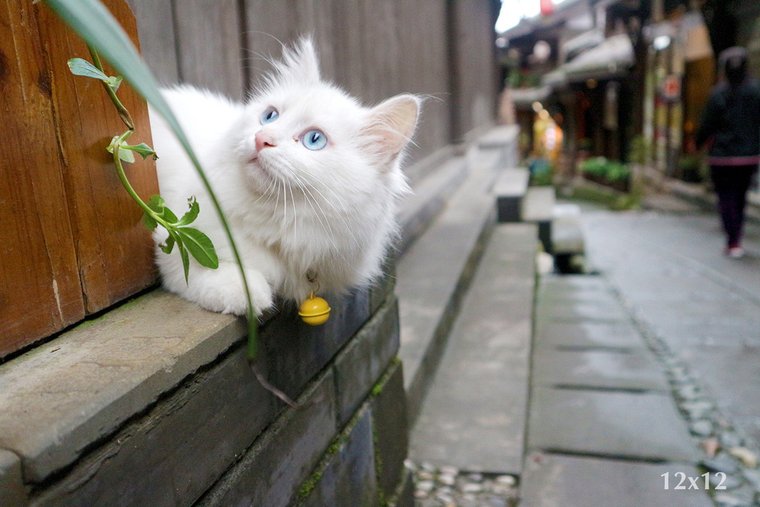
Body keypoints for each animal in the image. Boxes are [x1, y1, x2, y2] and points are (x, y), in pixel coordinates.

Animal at [148, 39, 422, 316]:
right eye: (270, 116)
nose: (262, 138)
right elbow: (209, 268)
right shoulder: (174, 238)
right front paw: (249, 293)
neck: (279, 226)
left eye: (314, 139)